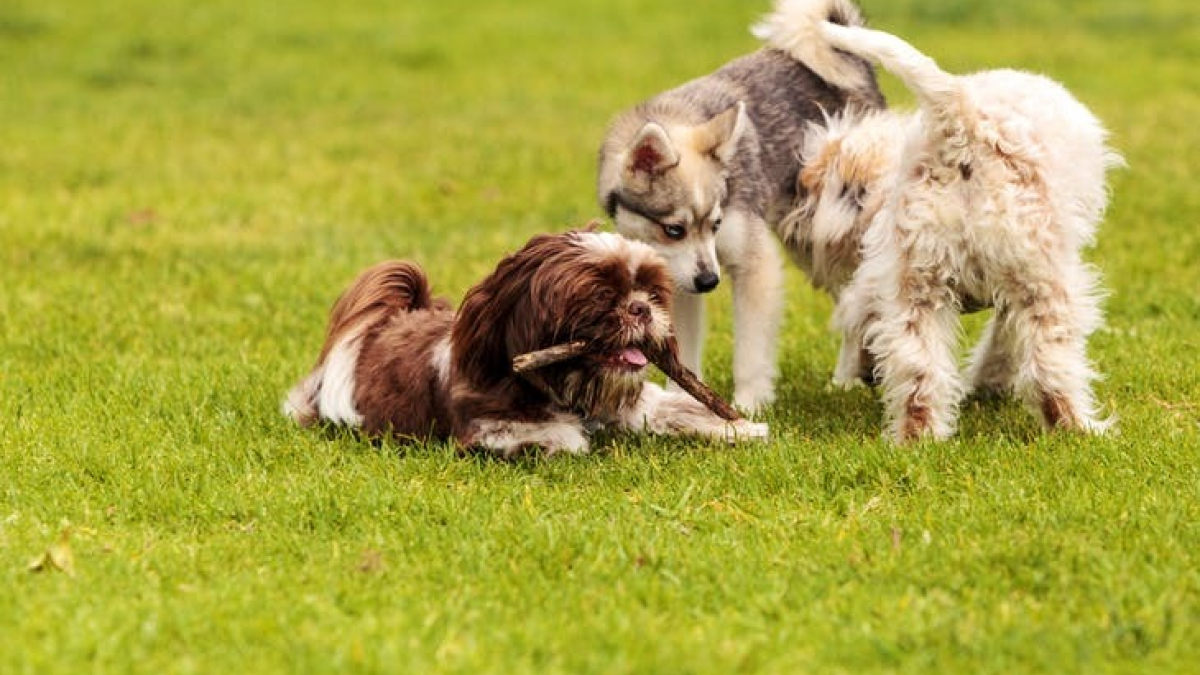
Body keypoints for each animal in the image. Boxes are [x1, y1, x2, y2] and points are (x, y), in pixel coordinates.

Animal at [597, 0, 883, 410]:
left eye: (716, 224)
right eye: (674, 230)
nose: (710, 281)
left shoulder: (755, 266)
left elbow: (749, 351)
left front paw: (749, 406)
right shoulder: (680, 281)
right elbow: (683, 356)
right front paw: (684, 402)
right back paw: (847, 379)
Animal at [777, 21, 1123, 439]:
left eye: (809, 188)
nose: (789, 222)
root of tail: (960, 122)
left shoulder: (886, 279)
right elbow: (1004, 341)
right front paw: (991, 383)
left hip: (918, 291)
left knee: (917, 370)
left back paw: (919, 438)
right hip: (1042, 282)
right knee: (1049, 368)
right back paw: (1080, 430)